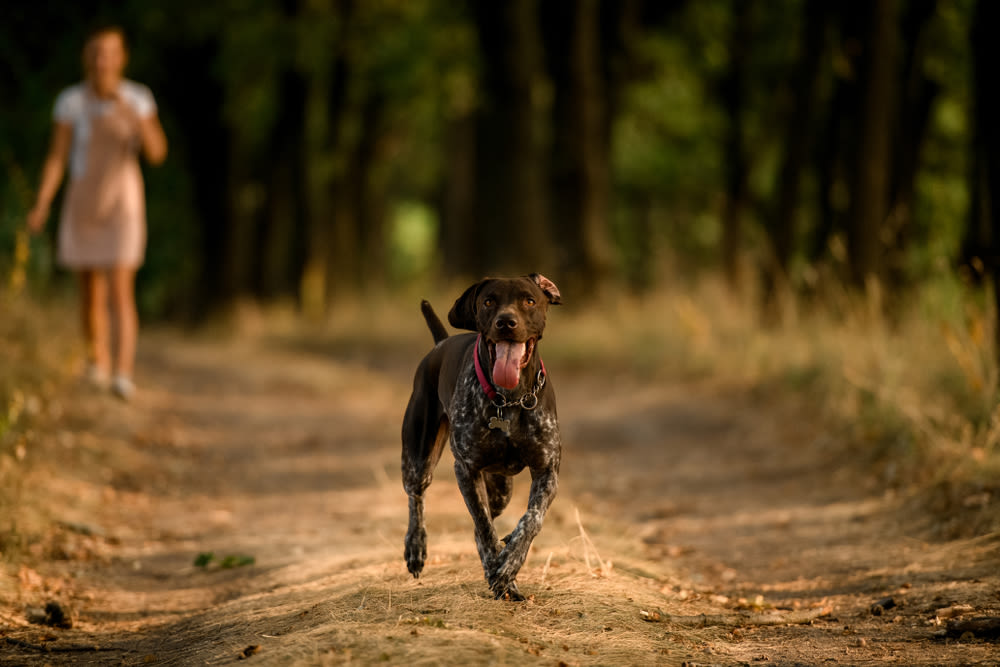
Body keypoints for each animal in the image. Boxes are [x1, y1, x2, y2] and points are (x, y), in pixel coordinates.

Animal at [402, 272, 568, 600]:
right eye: (489, 301)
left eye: (529, 300)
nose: (506, 322)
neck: (511, 400)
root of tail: (440, 343)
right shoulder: (466, 469)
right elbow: (483, 525)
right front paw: (499, 569)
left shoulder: (547, 471)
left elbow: (531, 519)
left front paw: (510, 562)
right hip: (418, 456)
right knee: (417, 497)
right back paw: (416, 547)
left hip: (501, 489)